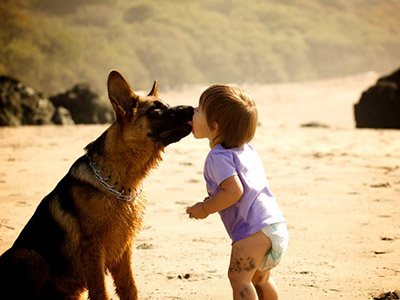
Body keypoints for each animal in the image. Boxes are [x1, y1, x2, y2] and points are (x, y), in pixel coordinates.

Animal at [0, 71, 194, 300]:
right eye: (156, 109)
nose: (193, 108)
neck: (120, 185)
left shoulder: (124, 248)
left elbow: (129, 287)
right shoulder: (94, 250)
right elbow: (101, 291)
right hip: (32, 257)